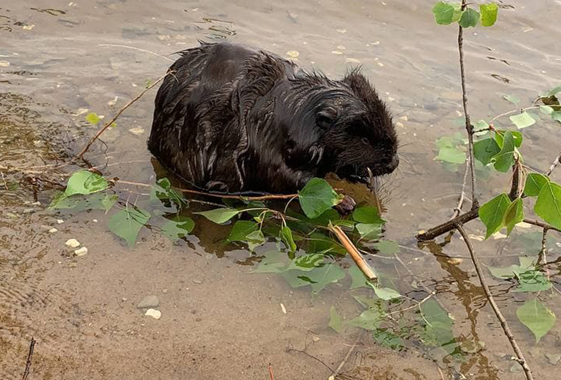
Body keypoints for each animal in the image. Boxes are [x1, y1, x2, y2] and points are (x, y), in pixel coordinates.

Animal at [147, 41, 396, 194]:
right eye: (365, 139)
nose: (393, 163)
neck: (294, 110)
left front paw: (362, 179)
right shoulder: (265, 146)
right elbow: (286, 177)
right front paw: (344, 200)